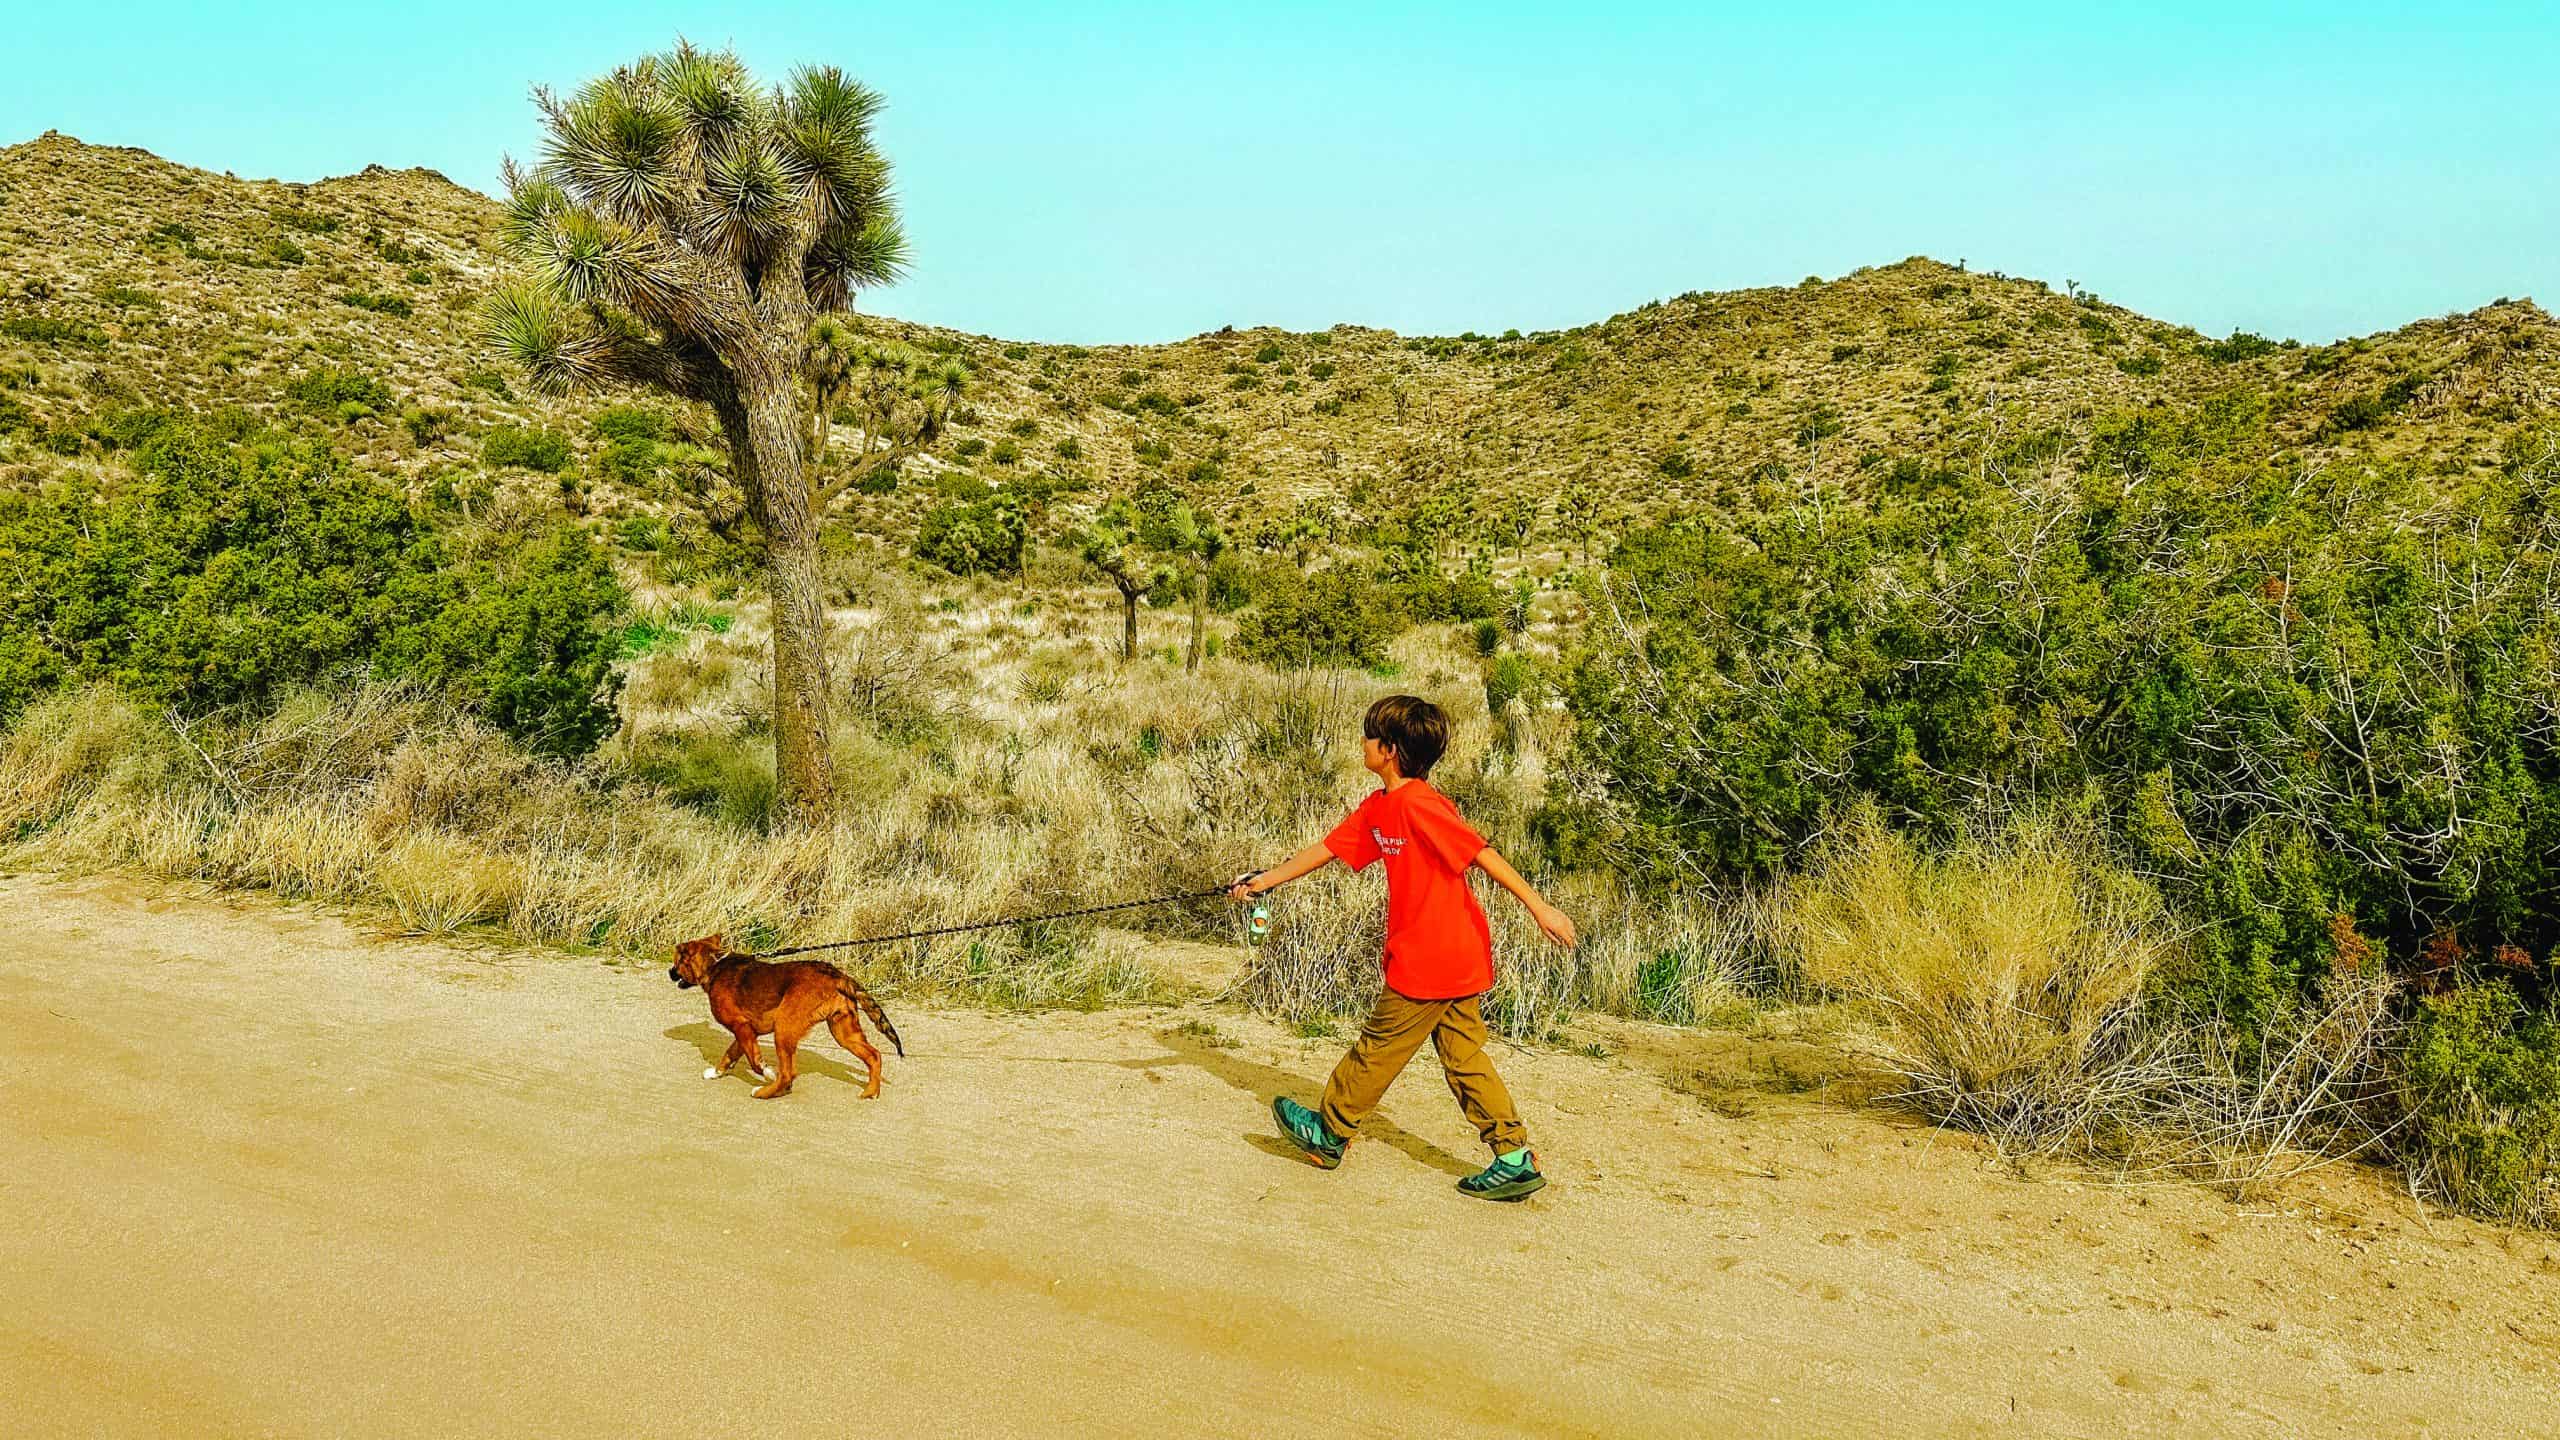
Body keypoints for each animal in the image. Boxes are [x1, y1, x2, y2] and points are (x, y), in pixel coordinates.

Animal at [665, 932, 906, 1096]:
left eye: (676, 962)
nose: (669, 972)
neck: (714, 966)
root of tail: (837, 975)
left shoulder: (741, 1027)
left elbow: (755, 1062)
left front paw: (767, 1073)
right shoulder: (745, 1033)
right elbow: (729, 1055)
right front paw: (716, 1073)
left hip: (784, 1030)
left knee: (789, 1074)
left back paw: (764, 1092)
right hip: (844, 1032)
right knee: (874, 1055)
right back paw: (870, 1092)